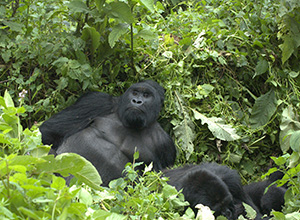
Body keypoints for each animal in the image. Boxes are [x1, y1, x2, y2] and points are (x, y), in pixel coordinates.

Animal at [39, 80, 176, 186]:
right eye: (135, 92)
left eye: (147, 95)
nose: (136, 101)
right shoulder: (97, 101)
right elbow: (49, 132)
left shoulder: (165, 144)